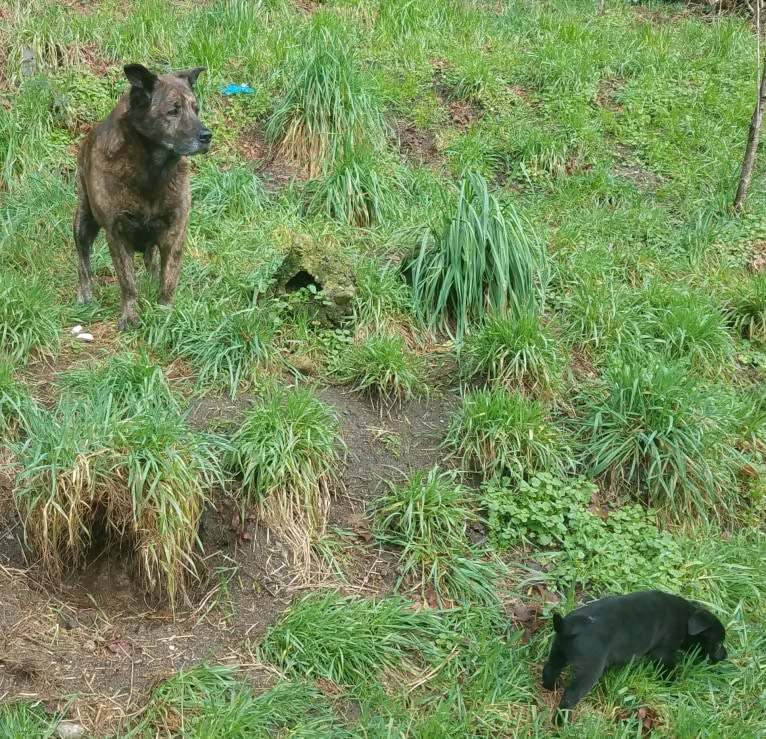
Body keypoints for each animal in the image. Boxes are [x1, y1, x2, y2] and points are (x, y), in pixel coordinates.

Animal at [74, 63, 212, 330]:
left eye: (196, 109)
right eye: (173, 111)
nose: (207, 136)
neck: (151, 171)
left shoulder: (175, 231)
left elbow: (168, 280)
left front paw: (164, 313)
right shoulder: (117, 234)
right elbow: (127, 283)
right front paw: (130, 316)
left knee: (151, 259)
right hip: (83, 220)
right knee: (83, 259)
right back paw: (85, 294)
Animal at [544, 592, 728, 724]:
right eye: (718, 644)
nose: (725, 656)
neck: (687, 616)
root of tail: (570, 626)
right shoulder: (664, 652)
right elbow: (667, 668)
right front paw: (672, 684)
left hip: (558, 650)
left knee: (550, 669)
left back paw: (549, 688)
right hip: (589, 670)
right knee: (570, 697)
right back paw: (561, 723)